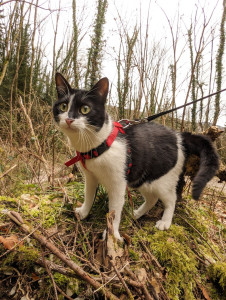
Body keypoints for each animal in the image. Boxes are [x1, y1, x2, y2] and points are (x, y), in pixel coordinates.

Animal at [53, 72, 219, 241]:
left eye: (85, 109)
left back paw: (165, 222)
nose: (69, 119)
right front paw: (84, 212)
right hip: (143, 178)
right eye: (63, 106)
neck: (96, 144)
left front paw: (113, 235)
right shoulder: (90, 176)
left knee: (171, 199)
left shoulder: (118, 183)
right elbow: (89, 195)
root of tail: (179, 136)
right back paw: (136, 214)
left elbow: (115, 209)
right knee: (152, 199)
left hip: (164, 179)